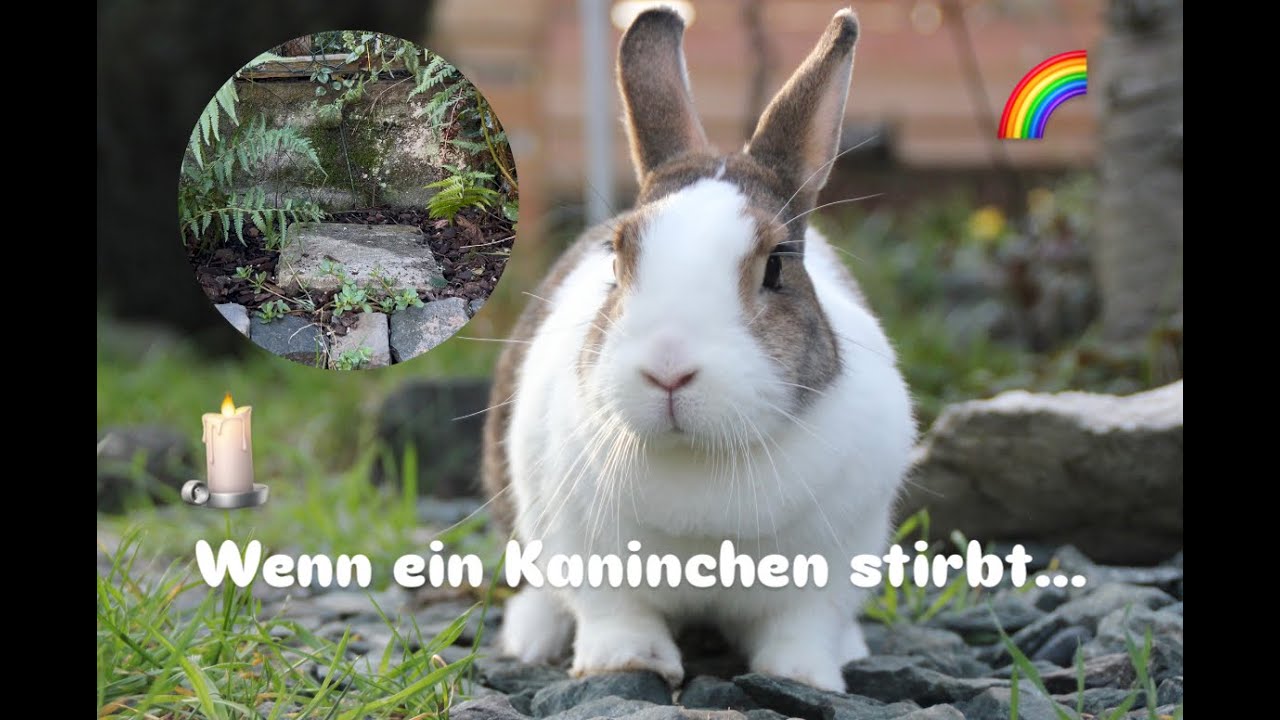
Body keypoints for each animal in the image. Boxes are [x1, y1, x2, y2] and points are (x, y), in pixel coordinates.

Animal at [480, 5, 916, 692]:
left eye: (776, 267)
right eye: (616, 258)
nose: (668, 371)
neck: (702, 462)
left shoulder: (834, 560)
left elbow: (803, 625)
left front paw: (805, 676)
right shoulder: (585, 550)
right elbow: (617, 614)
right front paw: (627, 662)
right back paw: (531, 637)